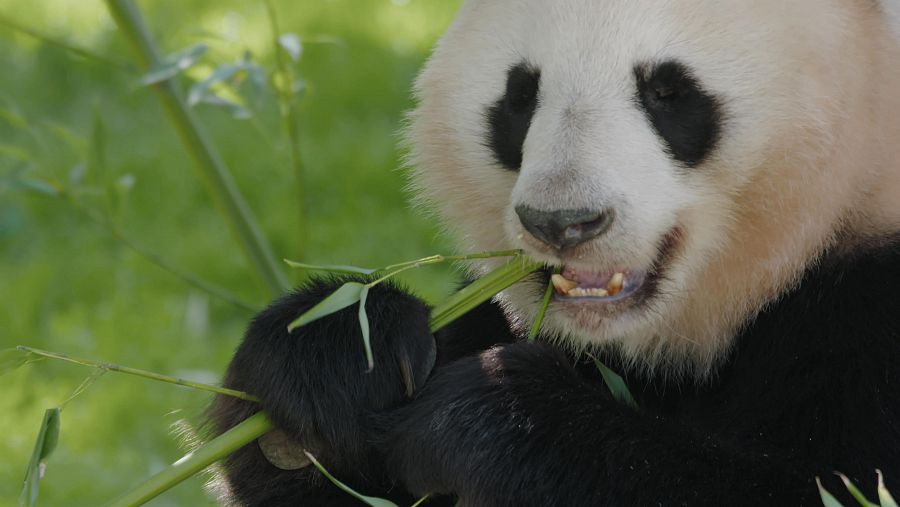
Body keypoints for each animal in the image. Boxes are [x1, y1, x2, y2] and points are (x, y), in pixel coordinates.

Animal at [209, 0, 900, 505]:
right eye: (520, 95)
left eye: (668, 91)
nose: (563, 222)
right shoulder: (498, 315)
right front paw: (336, 356)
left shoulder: (867, 306)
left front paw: (490, 416)